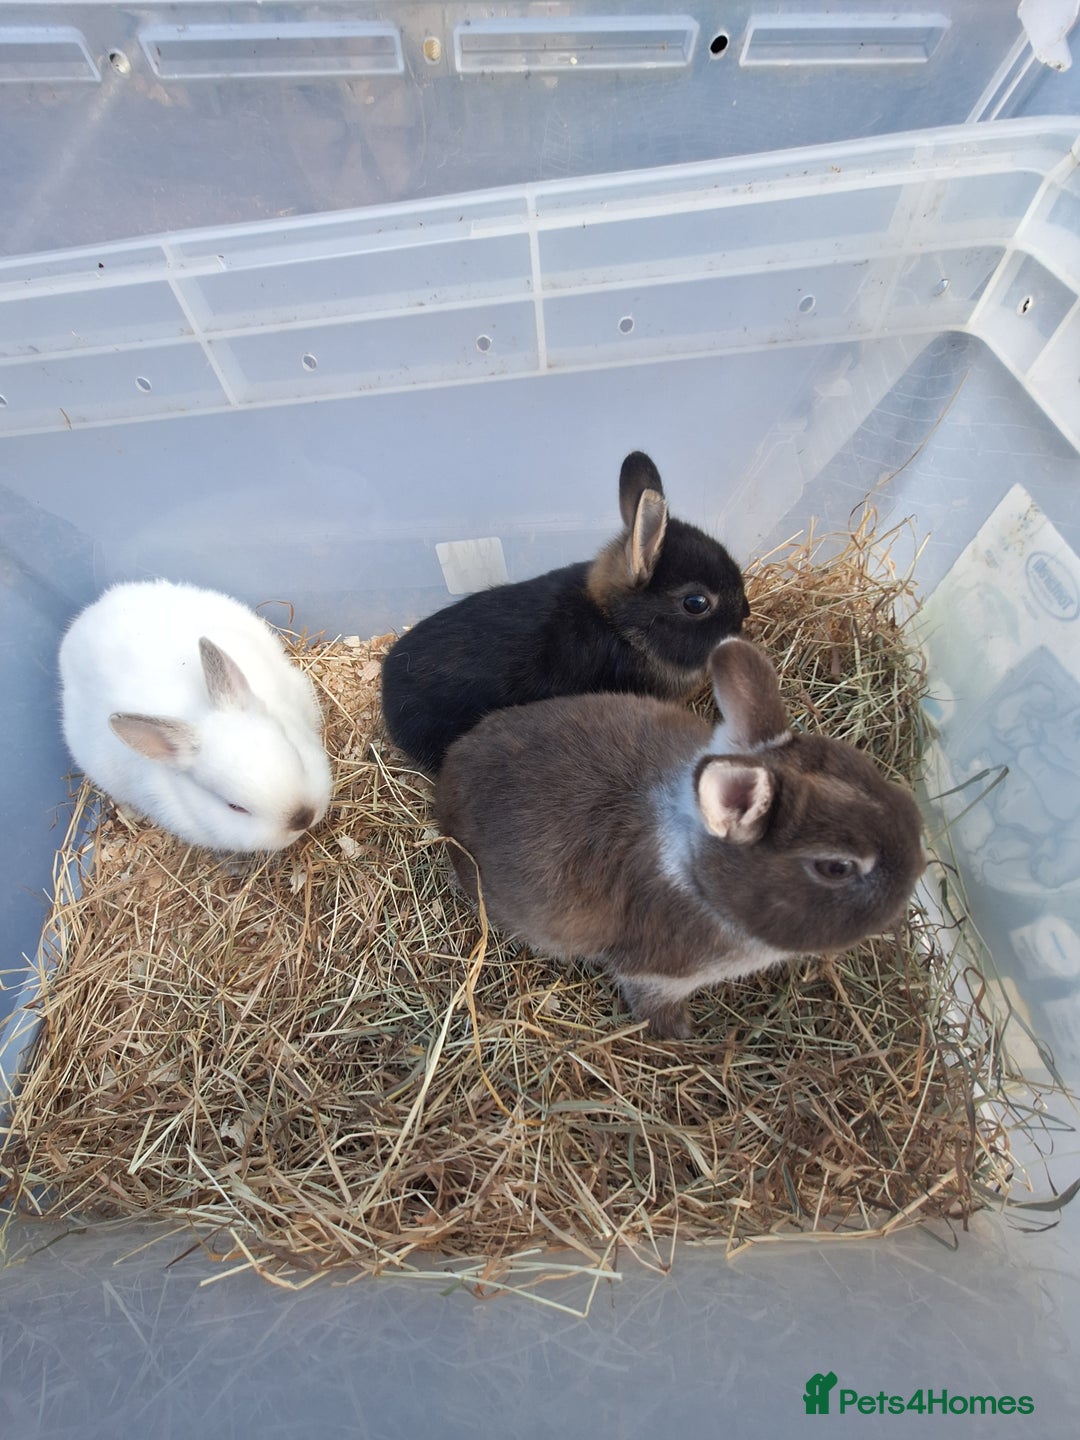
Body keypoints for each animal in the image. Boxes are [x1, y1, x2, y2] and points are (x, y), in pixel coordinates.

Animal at [436, 637, 926, 1039]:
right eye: (836, 867)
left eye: (864, 769)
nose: (917, 870)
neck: (698, 871)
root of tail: (451, 766)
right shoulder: (658, 974)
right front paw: (681, 1034)